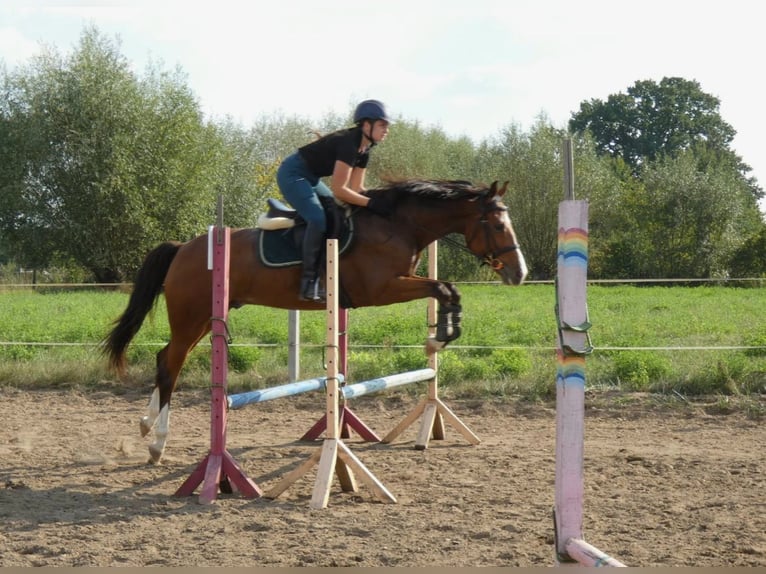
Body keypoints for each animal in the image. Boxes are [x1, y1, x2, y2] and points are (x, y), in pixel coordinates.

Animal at [102, 180, 528, 464]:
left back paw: (145, 426)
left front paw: (441, 336)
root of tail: (182, 249)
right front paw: (438, 339)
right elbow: (443, 288)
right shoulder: (382, 288)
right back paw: (157, 443)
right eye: (497, 225)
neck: (397, 225)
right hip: (192, 317)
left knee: (166, 360)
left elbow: (448, 290)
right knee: (171, 363)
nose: (519, 273)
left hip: (205, 319)